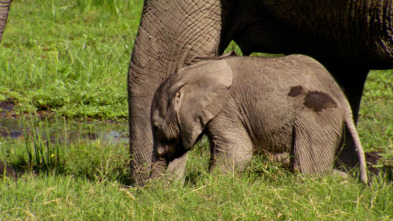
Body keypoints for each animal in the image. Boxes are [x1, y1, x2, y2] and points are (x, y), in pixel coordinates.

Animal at [149, 54, 366, 184]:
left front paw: (204, 187)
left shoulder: (227, 107)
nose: (158, 191)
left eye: (156, 127)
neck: (195, 73)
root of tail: (339, 94)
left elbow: (238, 150)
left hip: (316, 115)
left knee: (309, 171)